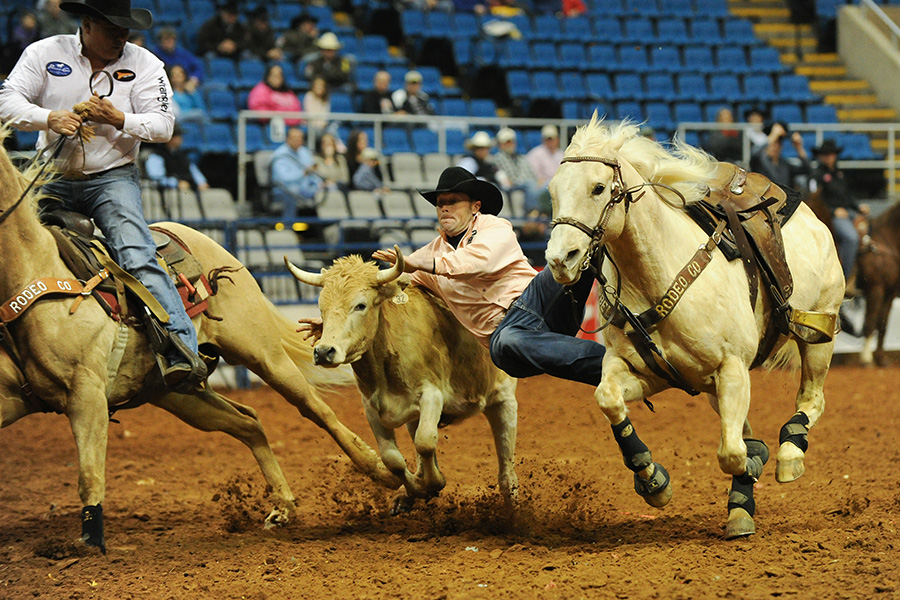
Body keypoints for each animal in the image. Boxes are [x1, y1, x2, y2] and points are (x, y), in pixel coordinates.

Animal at [0, 127, 398, 552]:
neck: (36, 271)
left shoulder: (85, 395)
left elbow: (89, 475)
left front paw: (89, 542)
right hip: (174, 393)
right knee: (247, 421)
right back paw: (283, 505)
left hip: (262, 355)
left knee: (316, 410)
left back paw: (382, 471)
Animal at [544, 115, 848, 536]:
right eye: (553, 190)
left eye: (598, 187)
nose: (560, 259)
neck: (655, 273)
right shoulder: (647, 372)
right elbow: (608, 398)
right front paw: (652, 479)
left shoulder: (732, 368)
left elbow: (732, 453)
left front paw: (755, 463)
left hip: (818, 334)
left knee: (811, 400)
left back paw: (788, 455)